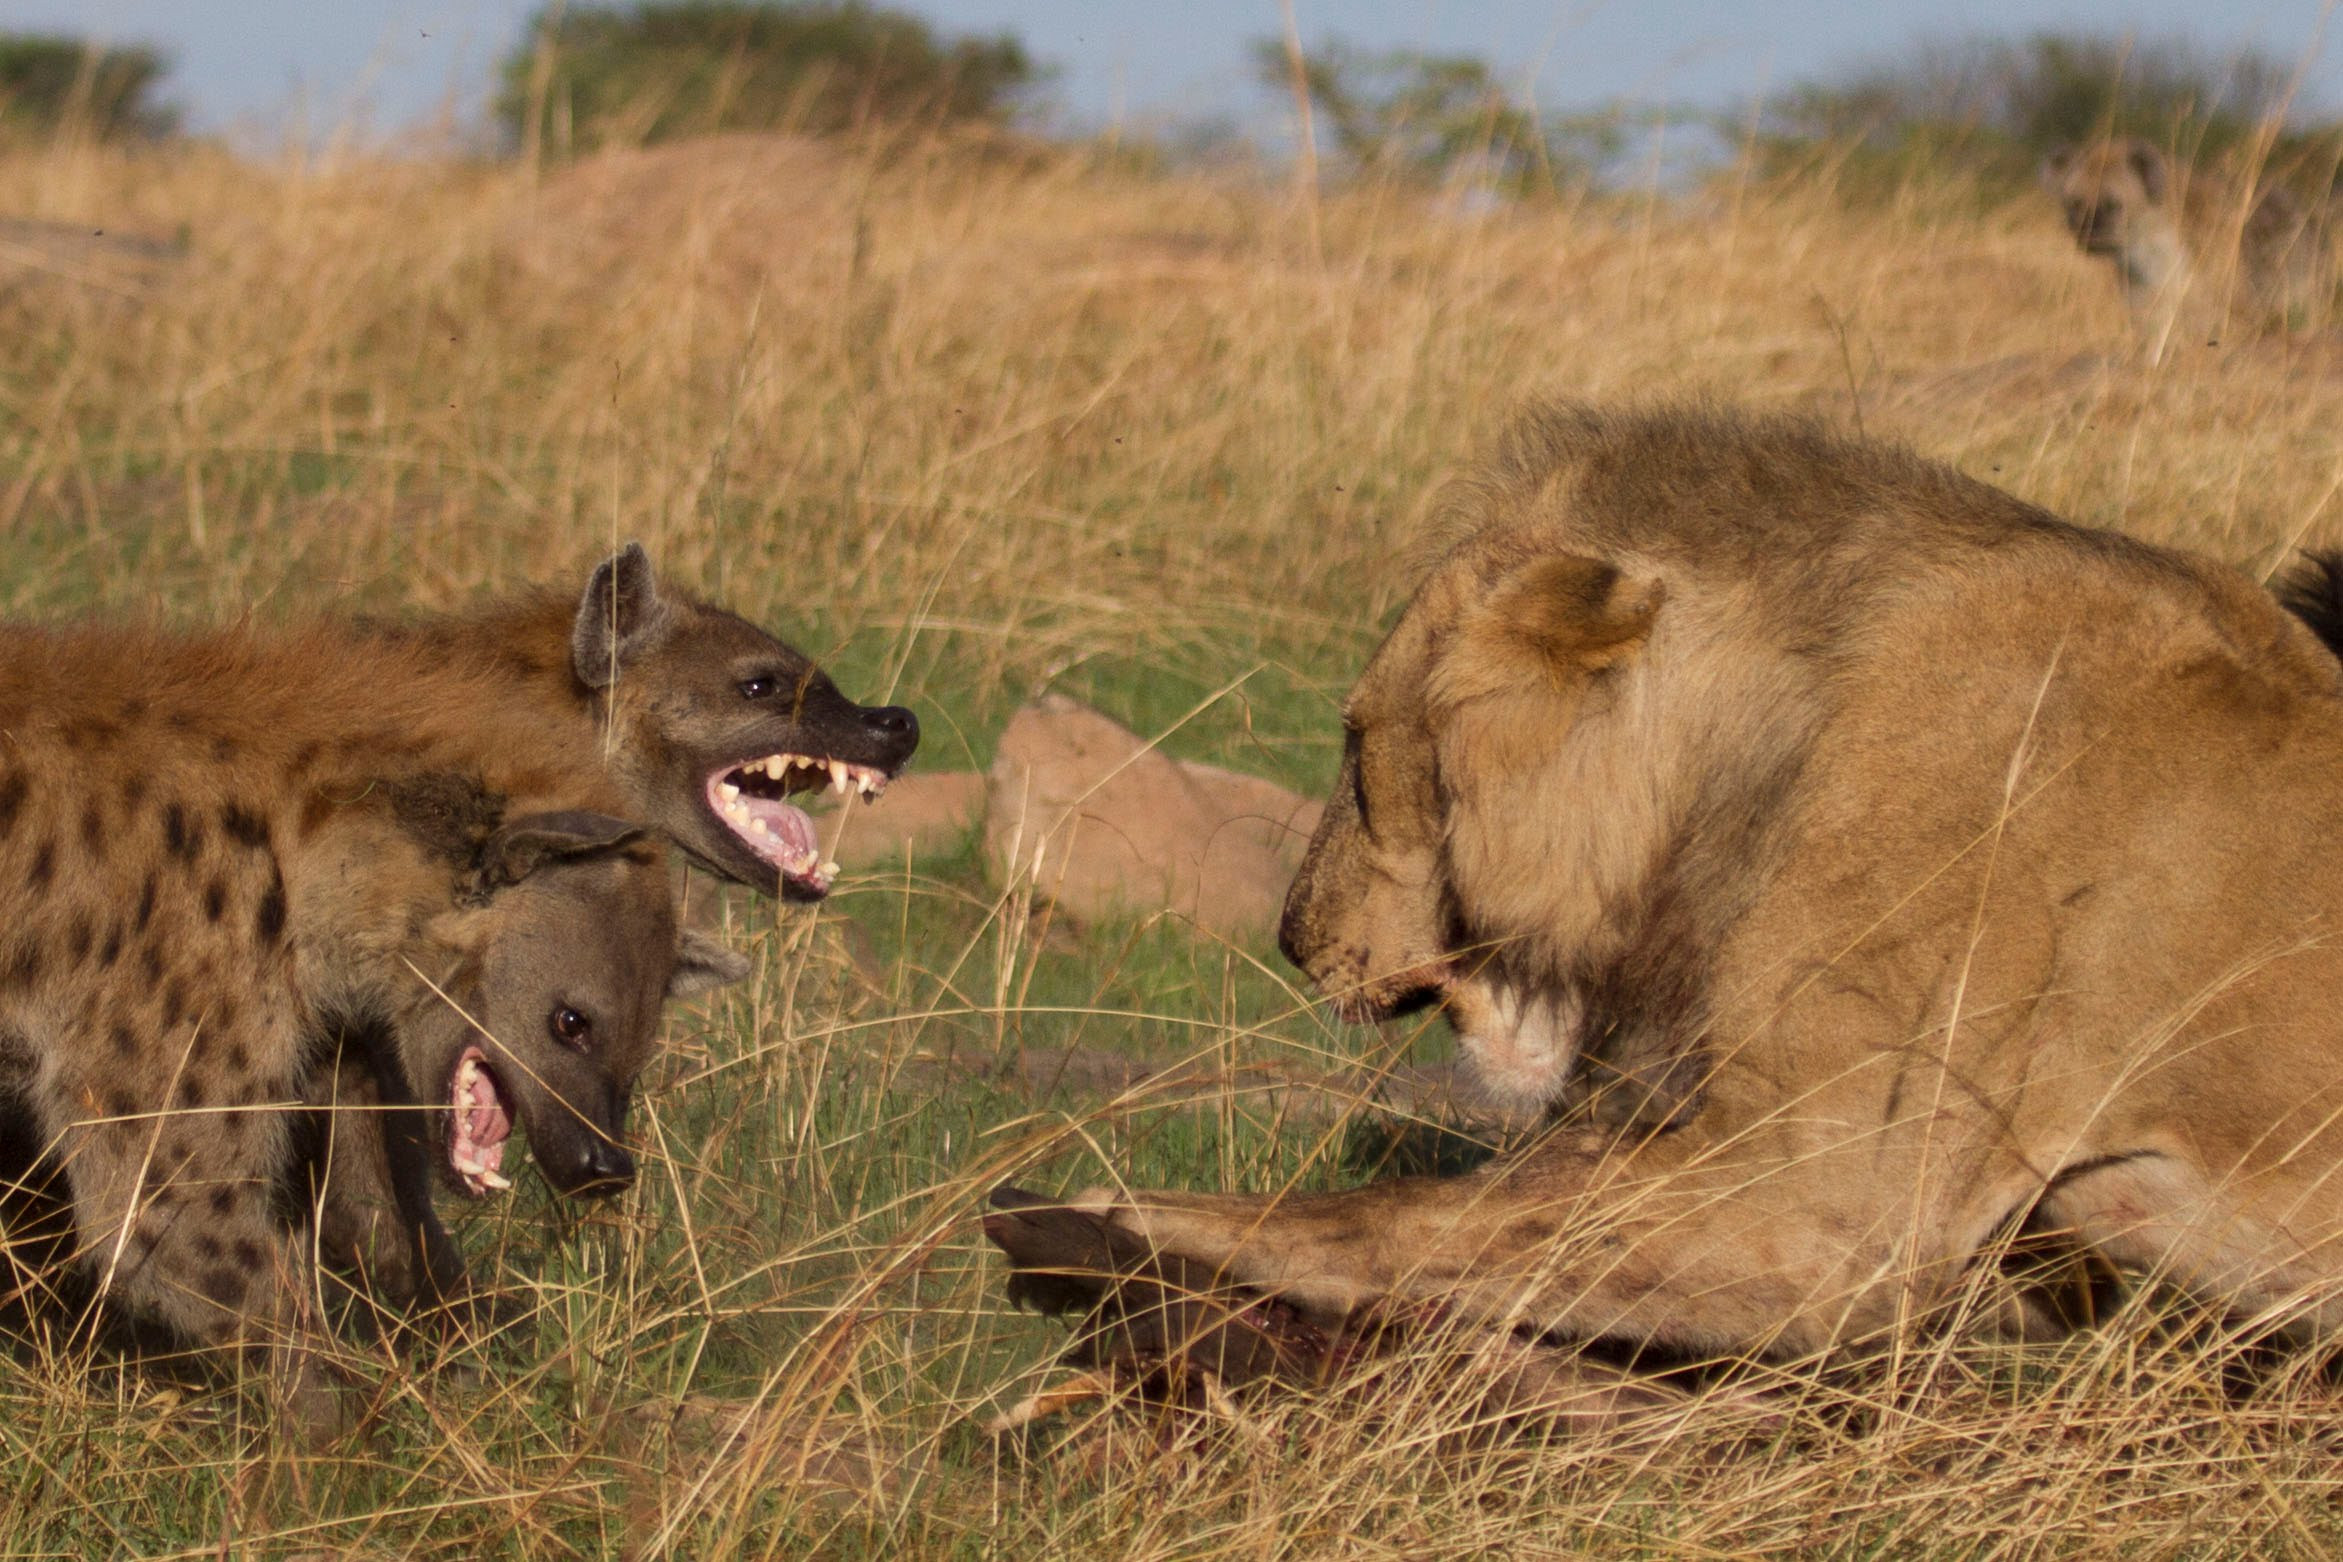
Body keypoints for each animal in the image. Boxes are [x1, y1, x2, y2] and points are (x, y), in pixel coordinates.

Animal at [993, 400, 2343, 1376]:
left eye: (1355, 745)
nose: (1289, 934)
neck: (1769, 744)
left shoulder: (1828, 1207)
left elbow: (1409, 1211)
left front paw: (1112, 1214)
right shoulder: (2035, 1258)